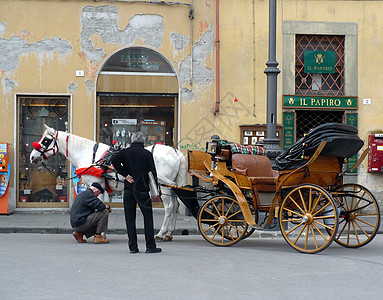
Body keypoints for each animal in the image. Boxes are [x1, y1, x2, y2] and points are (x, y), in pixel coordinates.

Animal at [29, 124, 188, 241]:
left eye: (45, 140)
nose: (32, 157)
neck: (90, 155)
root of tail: (176, 152)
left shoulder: (96, 184)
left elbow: (98, 207)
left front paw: (99, 234)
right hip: (171, 186)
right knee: (175, 206)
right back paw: (169, 234)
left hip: (164, 187)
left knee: (169, 207)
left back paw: (161, 234)